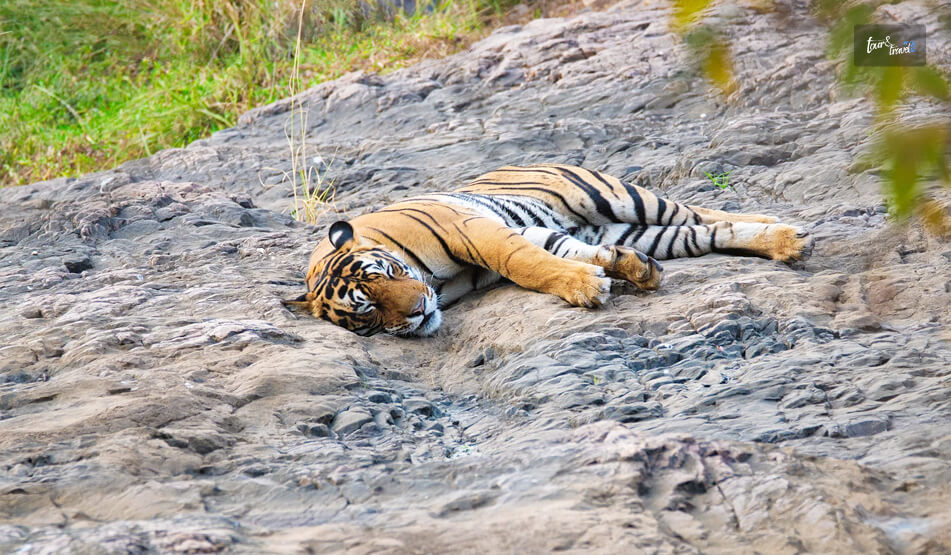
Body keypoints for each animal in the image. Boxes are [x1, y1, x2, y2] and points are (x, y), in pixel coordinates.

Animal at [284, 164, 813, 337]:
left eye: (390, 273)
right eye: (367, 311)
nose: (417, 312)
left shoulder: (476, 231)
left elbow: (526, 265)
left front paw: (585, 289)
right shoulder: (528, 234)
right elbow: (554, 256)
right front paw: (606, 274)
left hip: (618, 196)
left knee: (698, 211)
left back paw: (786, 233)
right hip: (627, 229)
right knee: (702, 233)